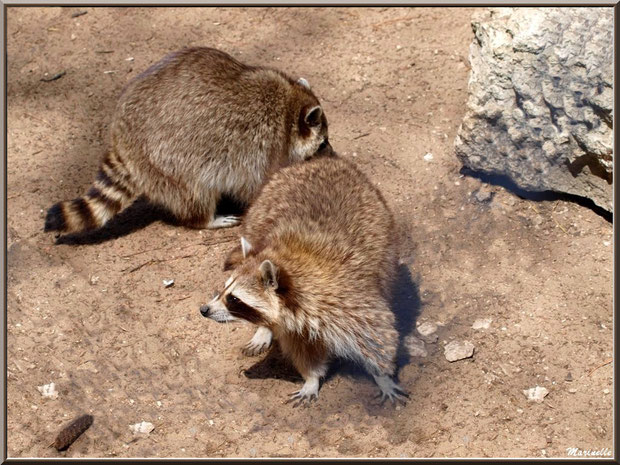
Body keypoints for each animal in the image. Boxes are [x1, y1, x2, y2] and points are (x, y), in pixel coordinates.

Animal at [44, 46, 332, 236]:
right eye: (323, 143)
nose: (332, 155)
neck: (289, 106)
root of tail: (121, 138)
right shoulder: (260, 143)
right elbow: (253, 185)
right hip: (168, 161)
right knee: (195, 191)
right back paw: (204, 219)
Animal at [201, 157, 410, 406]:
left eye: (233, 299)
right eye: (223, 289)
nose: (204, 310)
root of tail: (321, 161)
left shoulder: (346, 300)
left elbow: (377, 336)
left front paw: (382, 376)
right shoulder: (295, 325)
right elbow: (304, 352)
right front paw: (311, 378)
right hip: (257, 213)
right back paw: (264, 330)